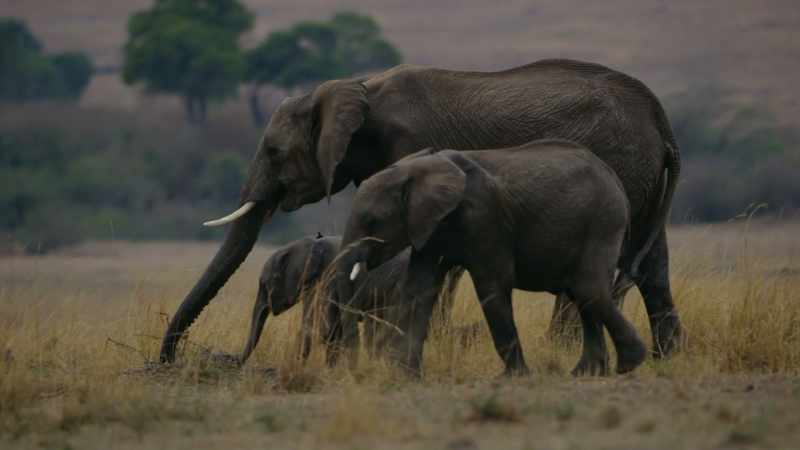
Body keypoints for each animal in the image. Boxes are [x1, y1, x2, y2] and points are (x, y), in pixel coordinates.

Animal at [334, 141, 648, 376]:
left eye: (372, 221)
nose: (355, 370)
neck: (420, 167)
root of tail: (614, 178)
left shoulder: (484, 218)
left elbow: (492, 286)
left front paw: (514, 377)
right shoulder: (430, 227)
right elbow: (419, 288)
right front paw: (404, 374)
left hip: (603, 221)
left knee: (588, 289)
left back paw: (630, 363)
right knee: (582, 294)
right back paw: (587, 372)